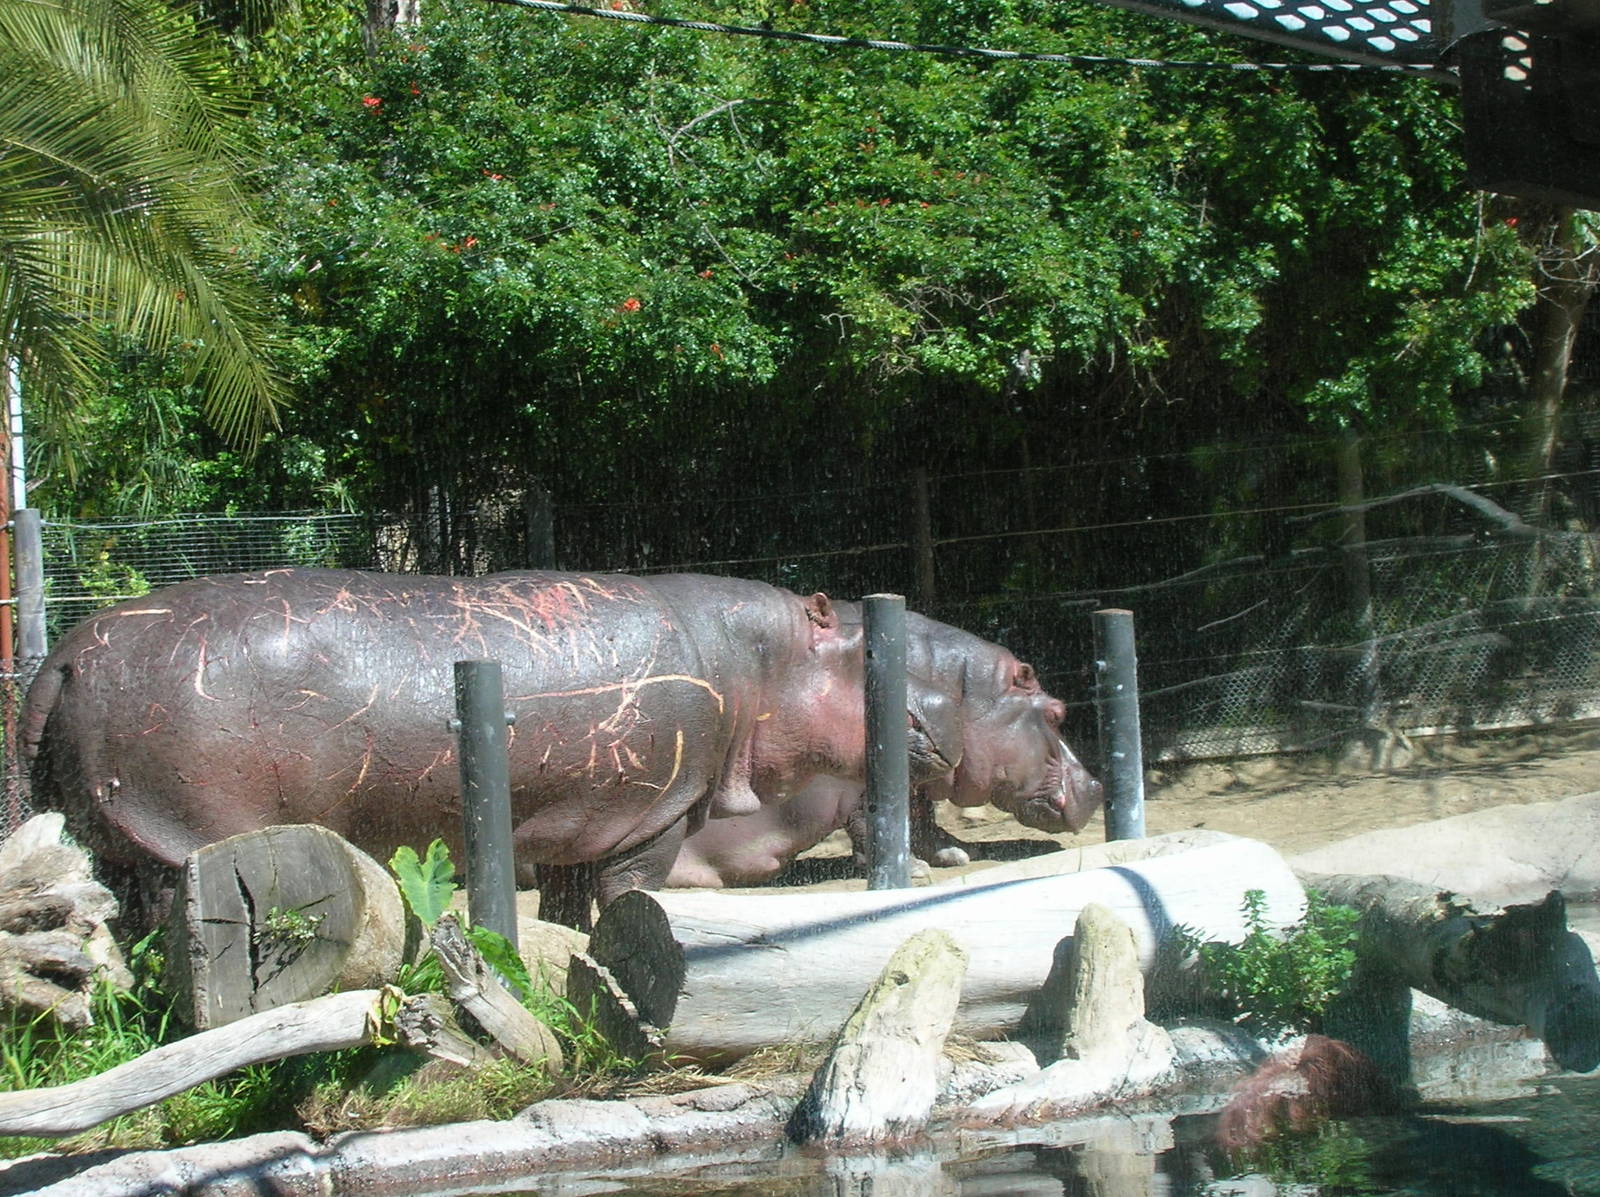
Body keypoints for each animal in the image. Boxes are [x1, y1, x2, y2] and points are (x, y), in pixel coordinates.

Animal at [20, 569, 968, 928]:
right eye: (865, 652)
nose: (938, 730)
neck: (758, 663)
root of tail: (63, 654)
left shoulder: (586, 823)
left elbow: (569, 910)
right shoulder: (654, 818)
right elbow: (630, 895)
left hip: (112, 840)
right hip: (191, 834)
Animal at [667, 607, 1103, 888]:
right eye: (1057, 712)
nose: (1098, 786)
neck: (959, 690)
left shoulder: (918, 781)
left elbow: (922, 819)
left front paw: (955, 854)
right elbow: (877, 820)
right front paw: (910, 870)